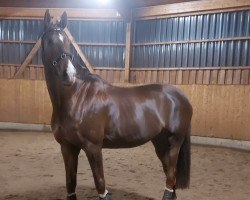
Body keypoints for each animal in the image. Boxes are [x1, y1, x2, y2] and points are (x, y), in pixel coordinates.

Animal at [42, 9, 192, 200]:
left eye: (68, 42)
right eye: (49, 41)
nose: (69, 74)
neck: (76, 97)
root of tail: (181, 96)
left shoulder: (93, 147)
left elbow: (100, 184)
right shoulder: (67, 147)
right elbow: (70, 183)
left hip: (174, 141)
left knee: (171, 176)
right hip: (160, 142)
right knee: (169, 177)